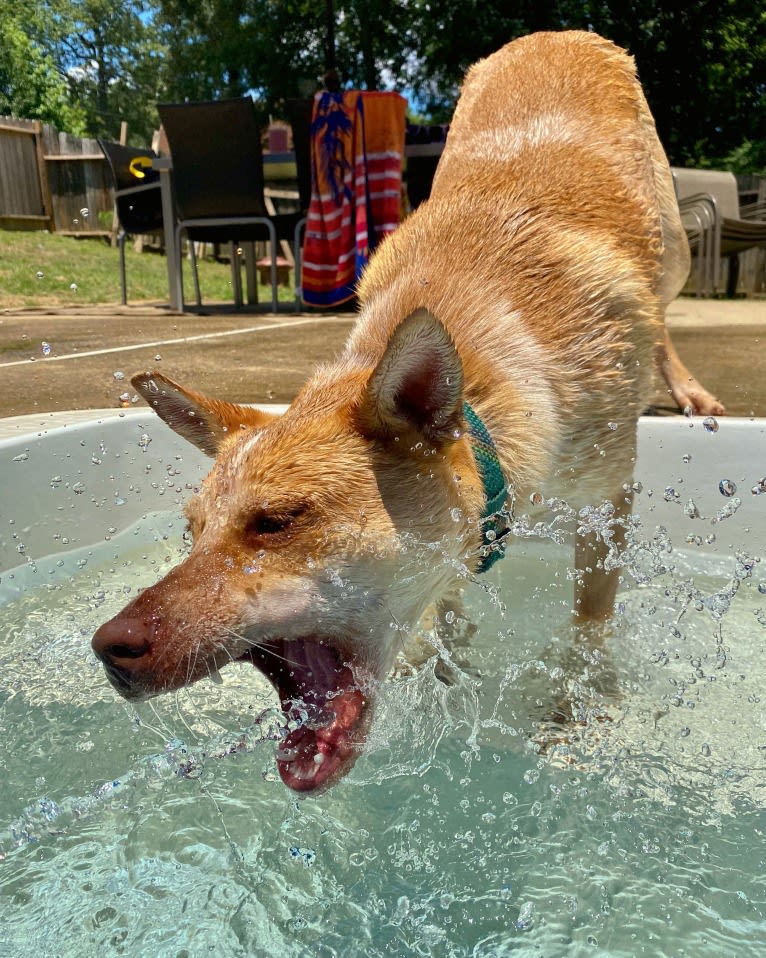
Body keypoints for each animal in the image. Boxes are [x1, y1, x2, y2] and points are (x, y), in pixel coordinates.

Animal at [91, 30, 728, 796]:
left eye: (276, 522)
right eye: (191, 533)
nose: (108, 648)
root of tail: (555, 34)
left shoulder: (609, 498)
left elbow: (589, 626)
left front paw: (573, 710)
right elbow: (443, 613)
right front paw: (449, 668)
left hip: (674, 246)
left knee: (663, 317)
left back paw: (689, 388)